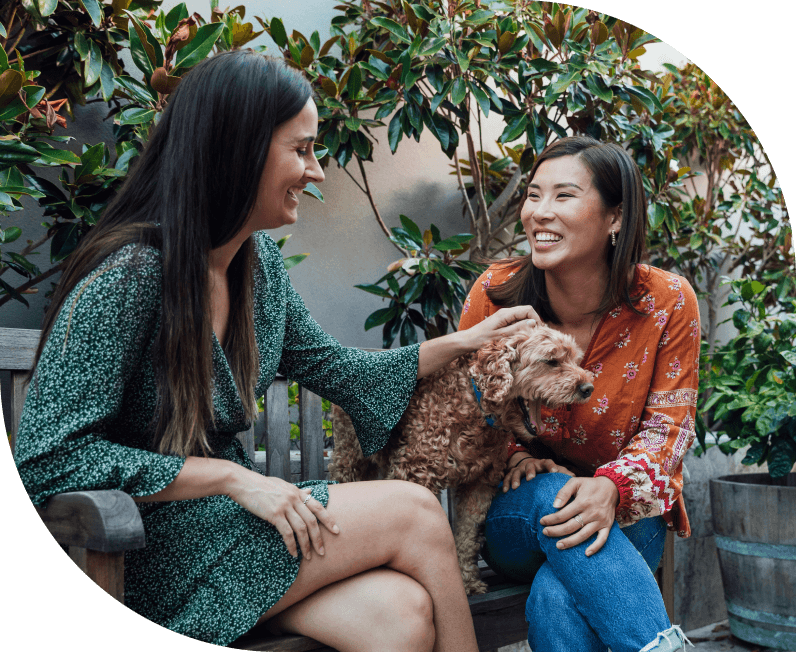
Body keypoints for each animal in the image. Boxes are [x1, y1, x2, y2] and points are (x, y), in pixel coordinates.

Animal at [326, 326, 592, 596]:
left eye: (574, 359)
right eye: (551, 361)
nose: (588, 388)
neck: (475, 403)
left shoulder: (479, 486)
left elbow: (466, 536)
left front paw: (467, 581)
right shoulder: (415, 474)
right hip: (349, 455)